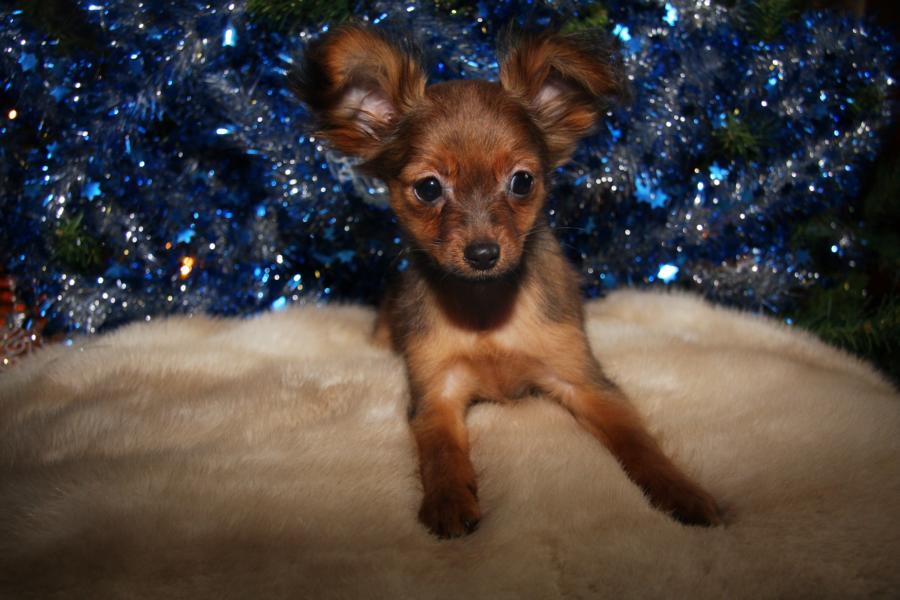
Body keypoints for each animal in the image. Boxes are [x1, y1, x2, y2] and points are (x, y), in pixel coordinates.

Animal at [291, 24, 722, 538]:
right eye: (428, 188)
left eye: (522, 182)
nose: (483, 254)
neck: (487, 308)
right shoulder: (436, 391)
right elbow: (441, 450)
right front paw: (449, 500)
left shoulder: (584, 382)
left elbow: (637, 440)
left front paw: (680, 491)